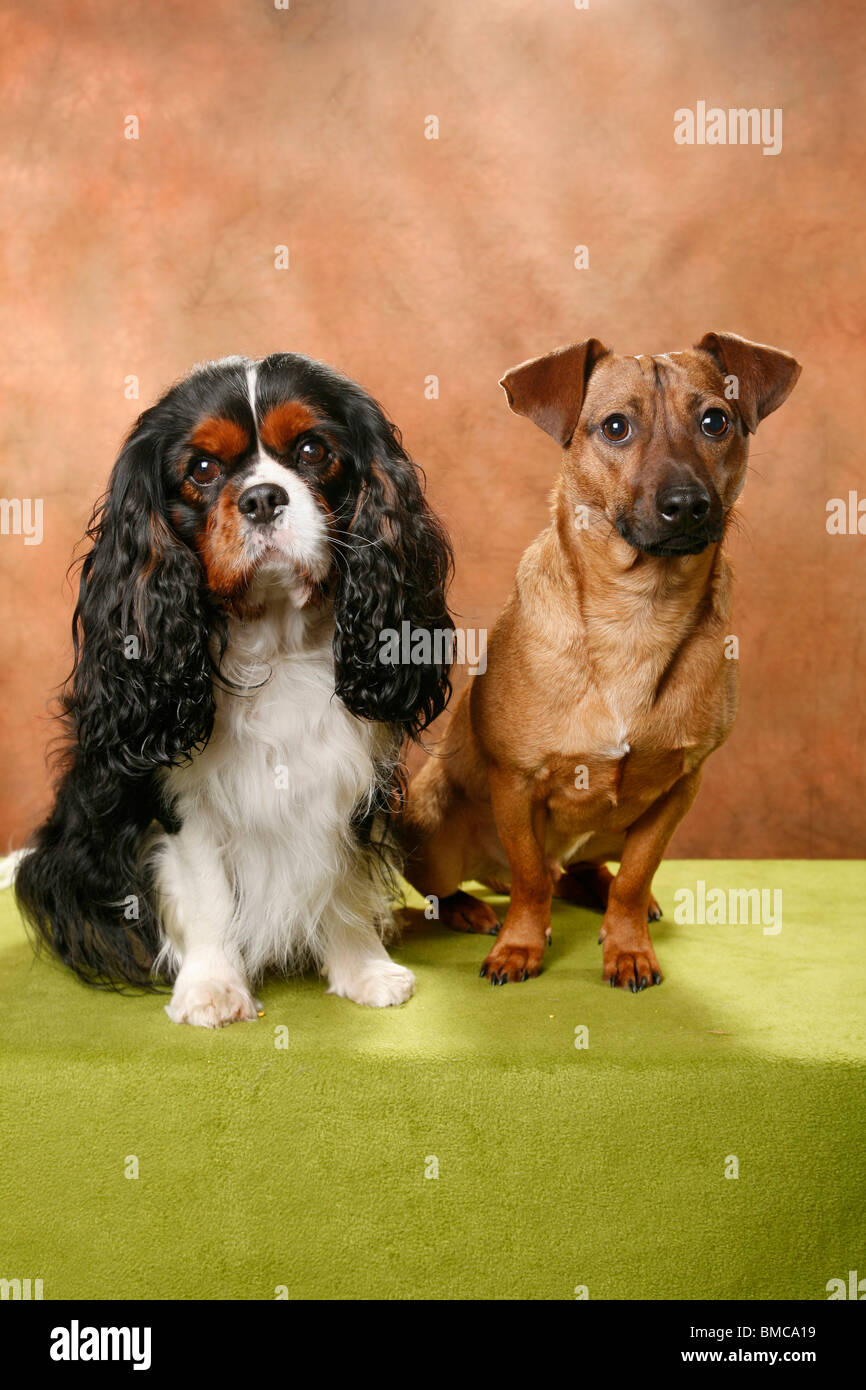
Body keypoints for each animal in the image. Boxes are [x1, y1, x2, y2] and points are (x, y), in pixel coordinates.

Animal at [16, 353, 453, 1028]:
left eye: (312, 450)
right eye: (201, 469)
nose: (263, 497)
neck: (275, 646)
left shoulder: (348, 780)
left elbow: (343, 877)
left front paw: (363, 969)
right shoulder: (182, 802)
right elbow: (208, 897)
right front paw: (213, 989)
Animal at [403, 333, 800, 989]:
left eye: (715, 421)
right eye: (616, 427)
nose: (687, 504)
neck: (636, 612)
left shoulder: (678, 789)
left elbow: (637, 877)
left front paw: (628, 945)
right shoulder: (516, 783)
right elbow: (531, 880)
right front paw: (520, 946)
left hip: (609, 835)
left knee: (584, 873)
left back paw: (602, 889)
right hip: (430, 826)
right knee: (479, 884)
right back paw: (469, 909)